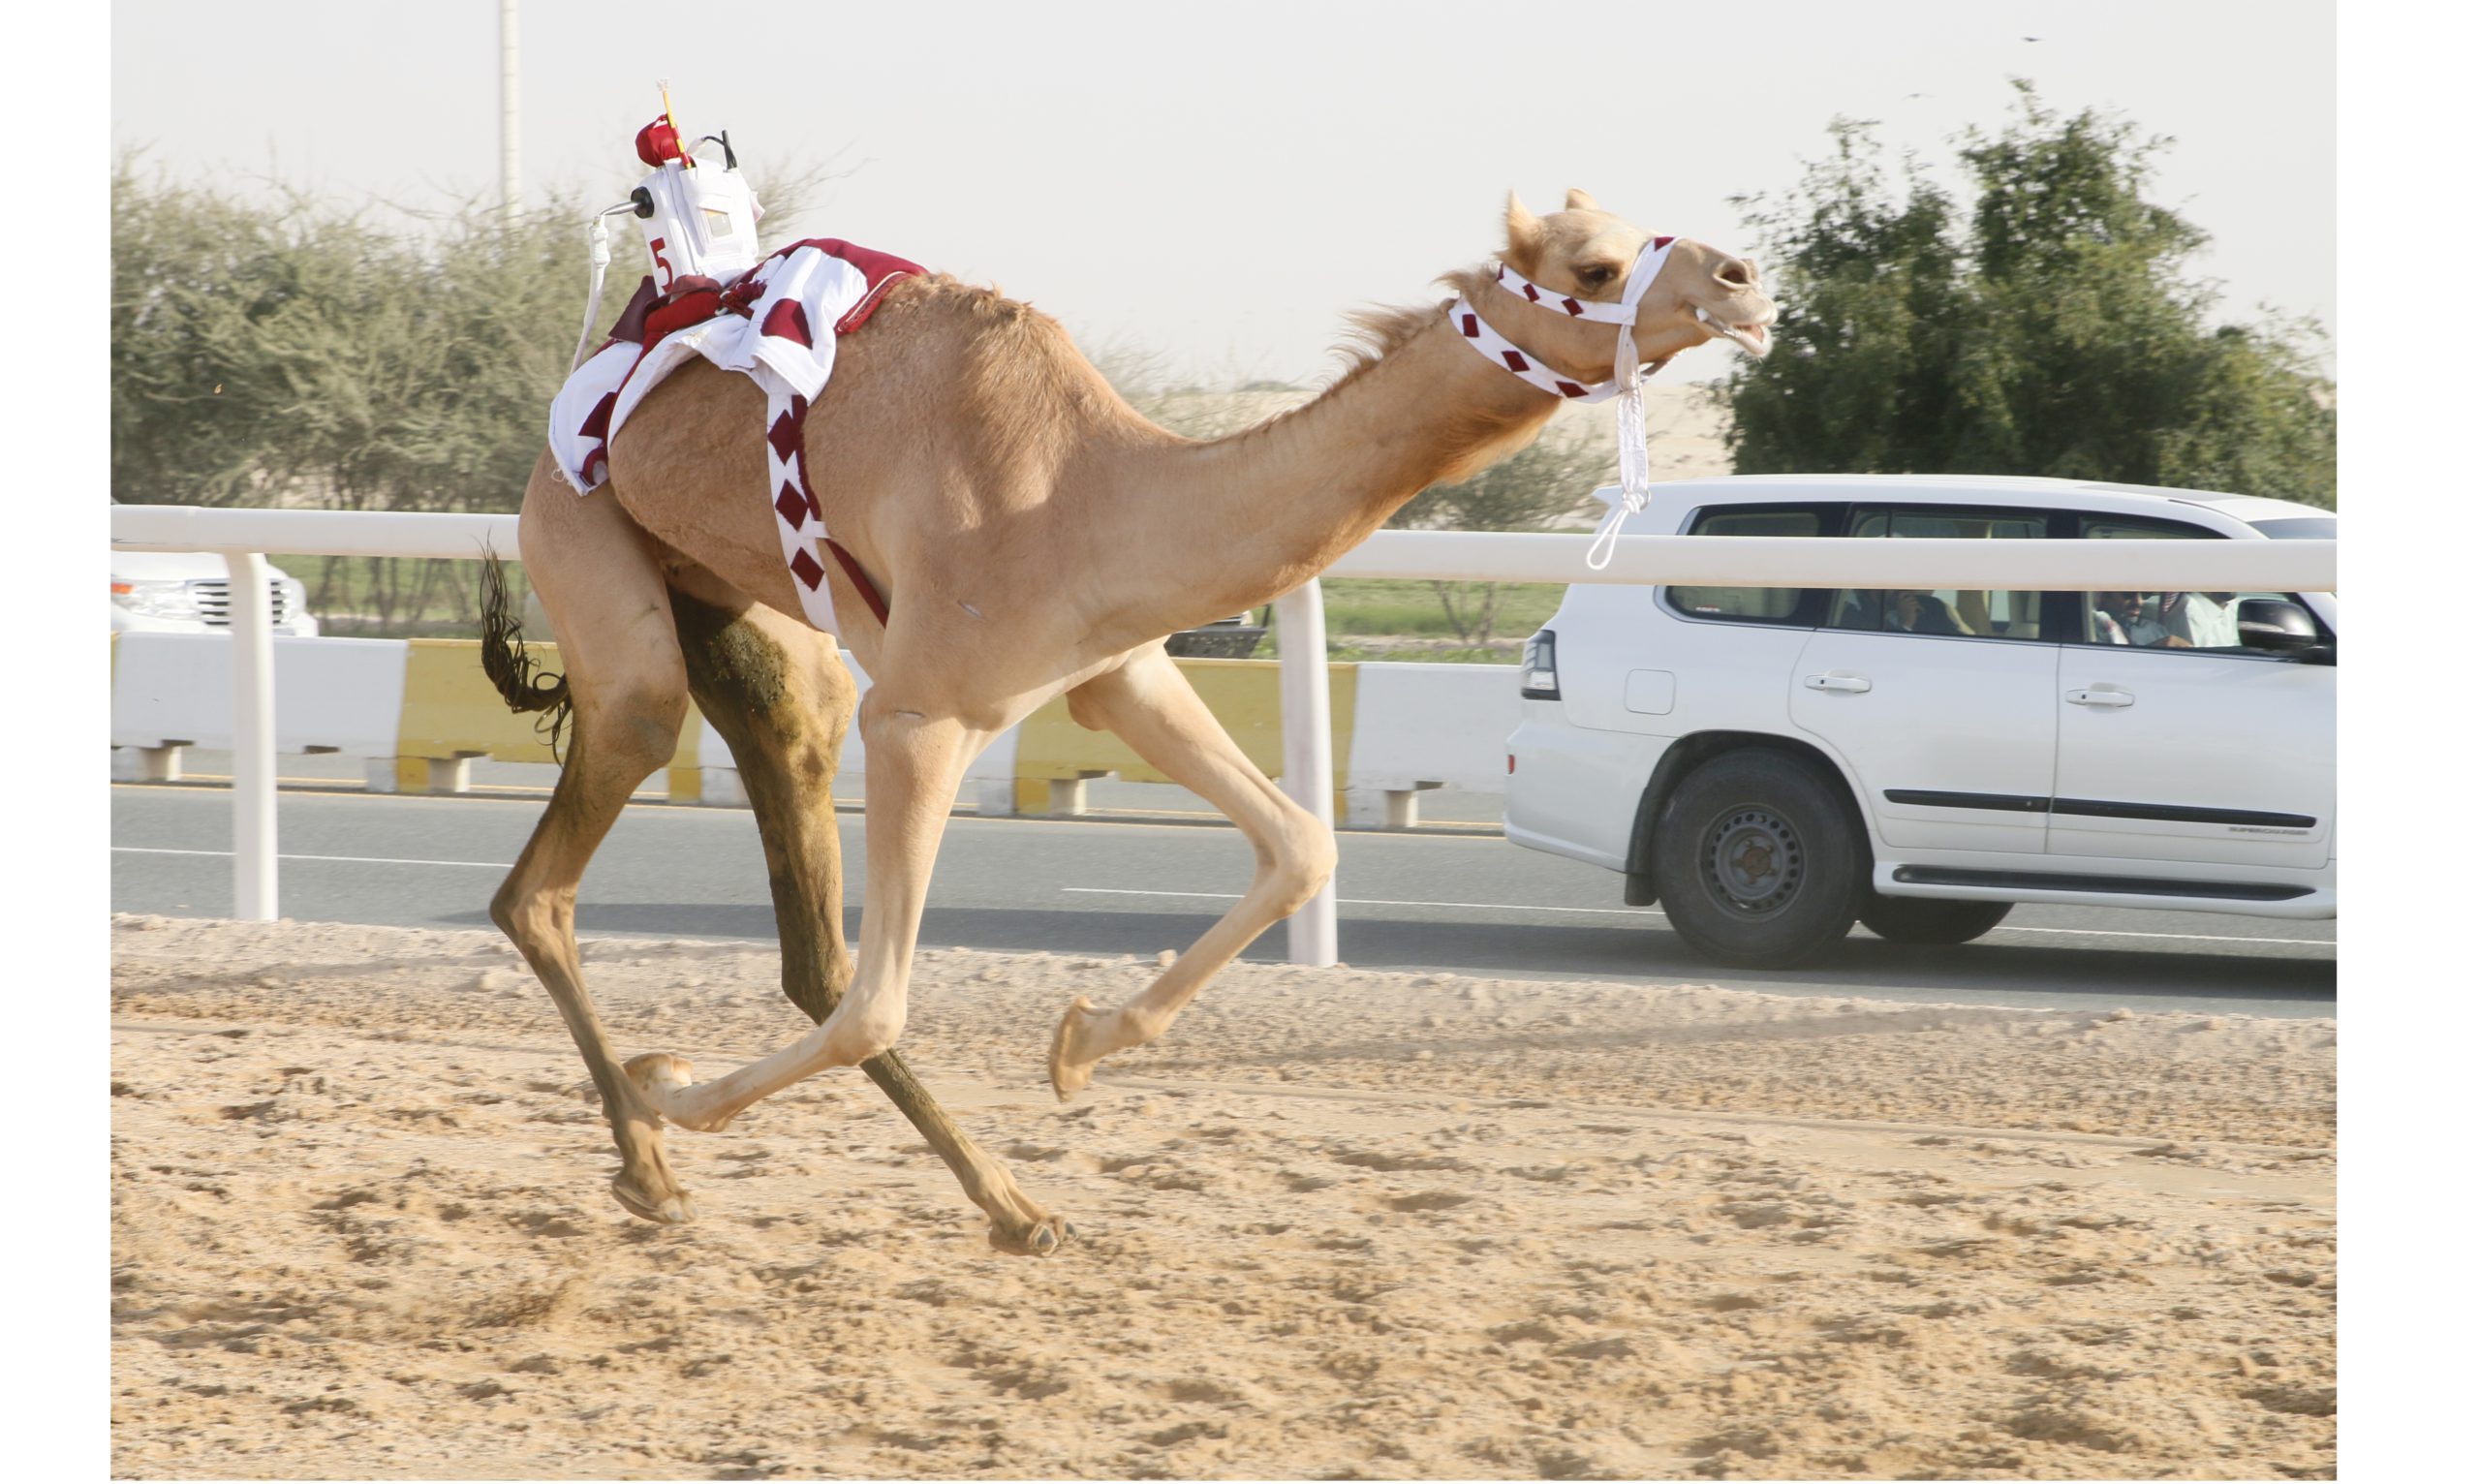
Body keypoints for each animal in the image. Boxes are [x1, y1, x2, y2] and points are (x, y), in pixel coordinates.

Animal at [483, 186, 1775, 1255]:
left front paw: (1081, 1041)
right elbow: (879, 999)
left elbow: (1302, 845)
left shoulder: (1121, 670)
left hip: (739, 613)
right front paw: (673, 1090)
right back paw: (655, 1151)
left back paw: (995, 1202)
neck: (1087, 491)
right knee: (576, 843)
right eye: (1597, 264)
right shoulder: (923, 716)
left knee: (798, 898)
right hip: (586, 537)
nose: (1742, 281)